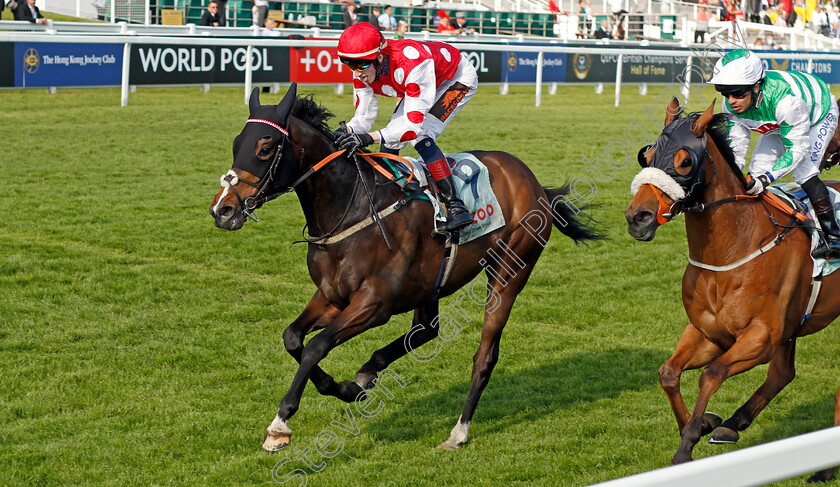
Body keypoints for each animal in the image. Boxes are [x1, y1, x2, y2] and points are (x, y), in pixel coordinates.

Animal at [210, 84, 604, 454]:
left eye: (264, 148)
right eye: (235, 144)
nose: (222, 210)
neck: (350, 208)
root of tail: (532, 181)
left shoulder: (375, 304)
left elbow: (315, 346)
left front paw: (280, 425)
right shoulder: (333, 296)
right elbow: (292, 338)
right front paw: (347, 388)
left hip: (509, 271)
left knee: (484, 357)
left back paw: (458, 432)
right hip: (432, 282)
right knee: (426, 329)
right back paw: (368, 373)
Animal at [624, 97, 840, 482]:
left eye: (684, 161)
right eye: (646, 156)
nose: (638, 218)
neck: (733, 249)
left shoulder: (760, 338)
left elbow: (711, 375)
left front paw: (686, 447)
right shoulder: (709, 333)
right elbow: (668, 373)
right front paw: (706, 423)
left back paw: (825, 469)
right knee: (783, 373)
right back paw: (735, 423)